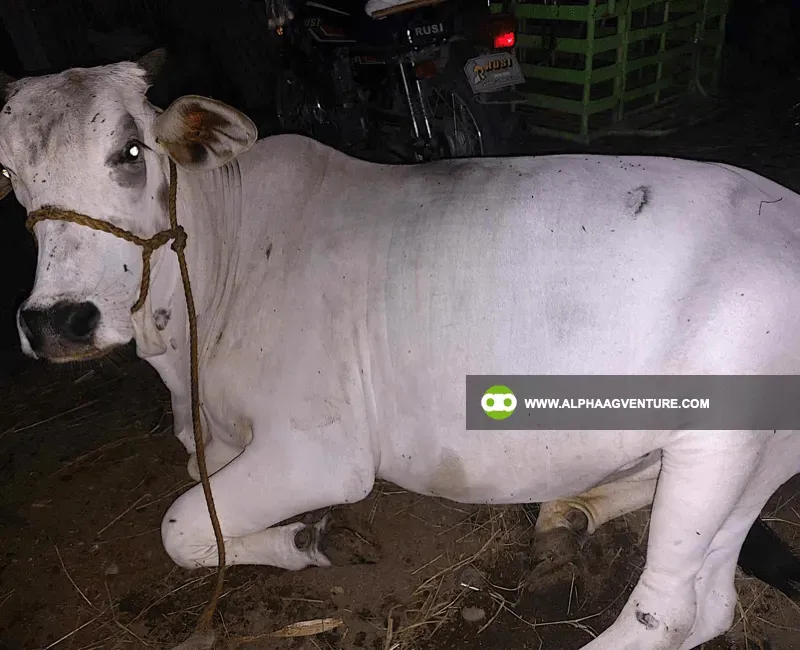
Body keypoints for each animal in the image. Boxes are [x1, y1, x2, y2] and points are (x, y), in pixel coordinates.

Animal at [1, 51, 800, 650]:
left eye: (131, 151)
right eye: (9, 176)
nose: (58, 321)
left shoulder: (320, 452)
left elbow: (178, 526)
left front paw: (301, 537)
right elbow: (203, 508)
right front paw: (295, 539)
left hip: (718, 437)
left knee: (669, 612)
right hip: (759, 450)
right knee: (711, 599)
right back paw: (567, 514)